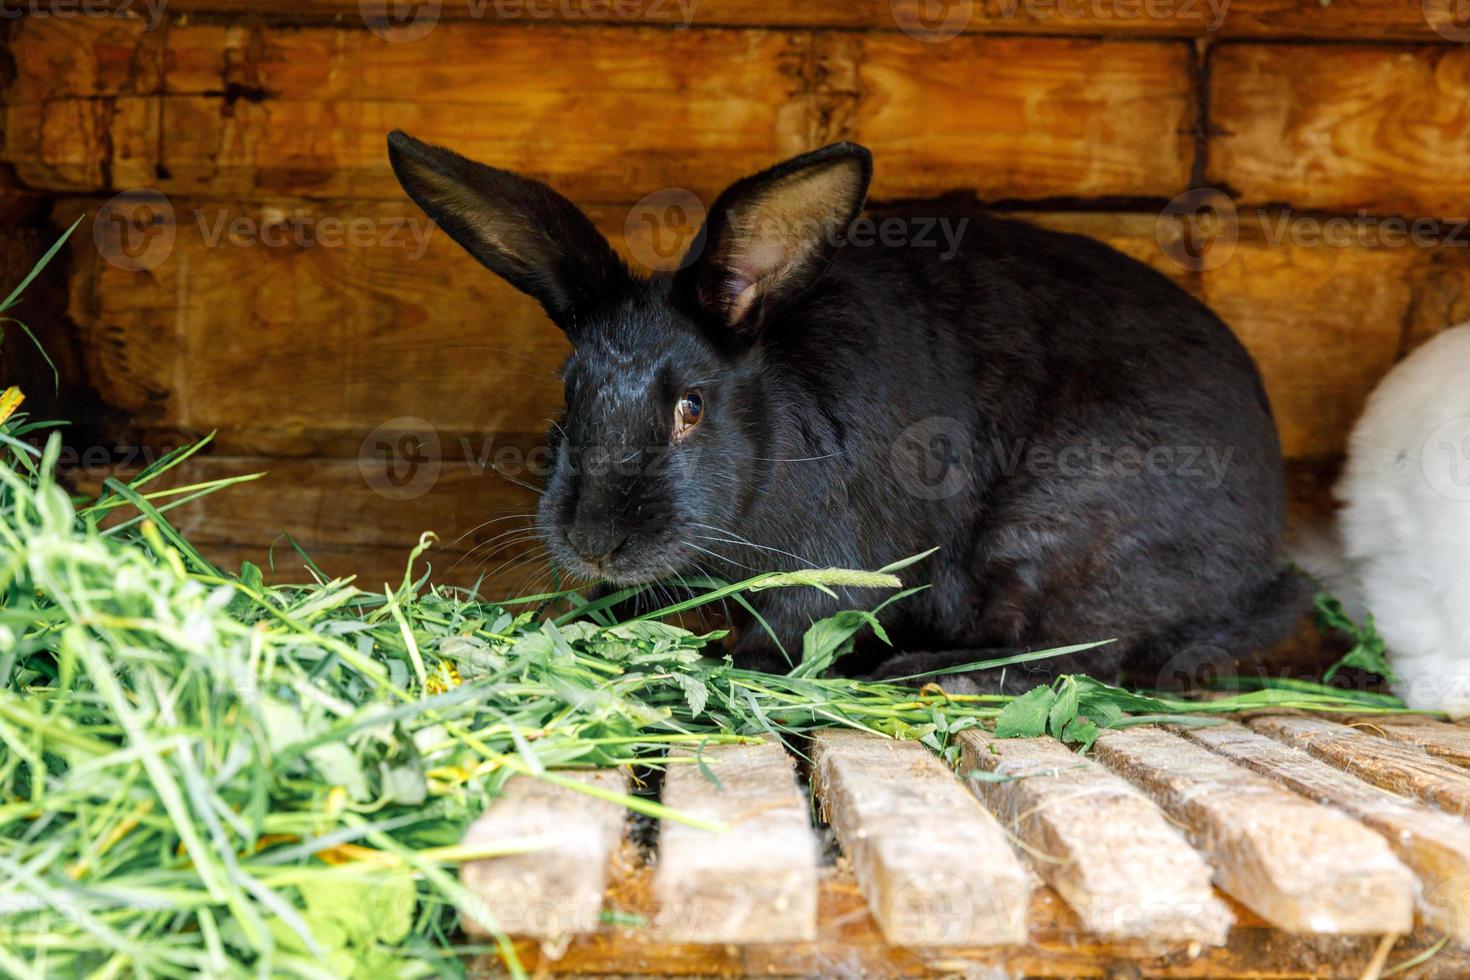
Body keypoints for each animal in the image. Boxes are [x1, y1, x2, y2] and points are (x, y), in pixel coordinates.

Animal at [388, 132, 1299, 690]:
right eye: (568, 390)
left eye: (691, 407)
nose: (593, 542)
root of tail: (1264, 567)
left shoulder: (832, 572)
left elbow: (786, 634)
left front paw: (733, 663)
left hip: (1053, 533)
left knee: (1080, 652)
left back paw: (926, 673)